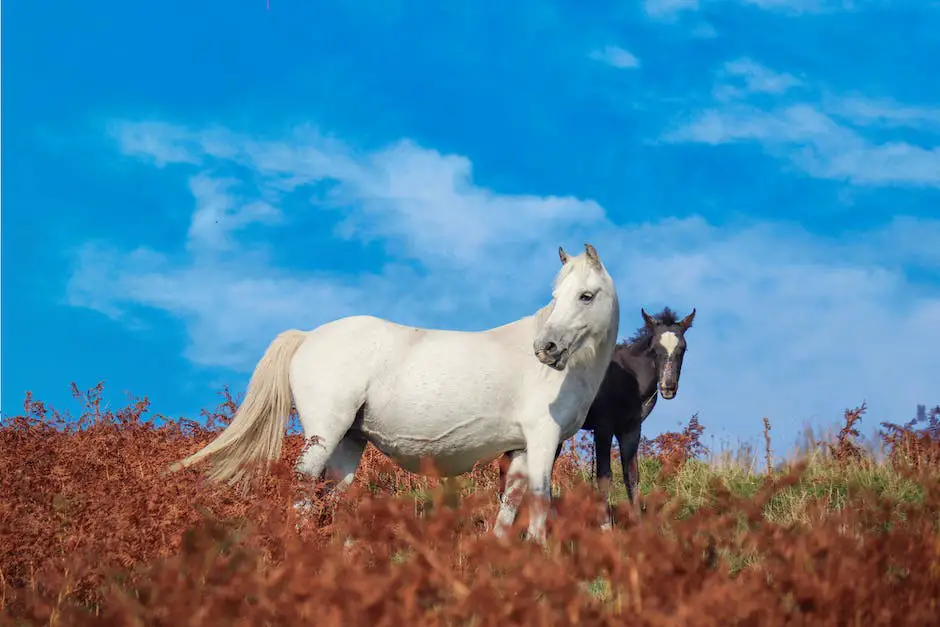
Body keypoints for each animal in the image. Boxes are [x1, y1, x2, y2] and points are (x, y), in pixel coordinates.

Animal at [172, 243, 620, 544]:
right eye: (555, 298)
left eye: (585, 296)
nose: (546, 349)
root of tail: (308, 336)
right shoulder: (543, 439)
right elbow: (541, 497)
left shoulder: (522, 448)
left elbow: (511, 500)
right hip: (324, 435)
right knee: (303, 490)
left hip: (349, 443)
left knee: (333, 495)